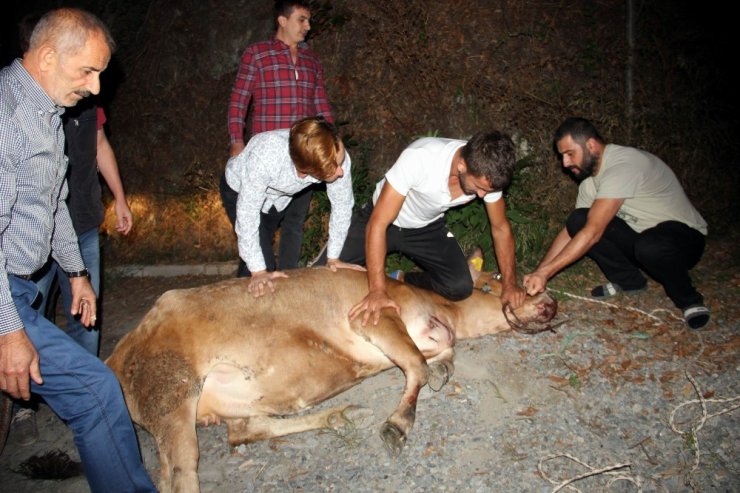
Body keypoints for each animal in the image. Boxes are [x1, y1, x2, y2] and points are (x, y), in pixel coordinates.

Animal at [102, 268, 556, 490]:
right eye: (497, 281)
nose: (549, 300)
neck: (446, 314)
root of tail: (115, 354)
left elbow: (436, 359)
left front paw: (443, 371)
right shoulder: (371, 316)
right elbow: (416, 364)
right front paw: (398, 425)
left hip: (229, 402)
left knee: (243, 431)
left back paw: (340, 416)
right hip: (170, 391)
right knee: (180, 474)